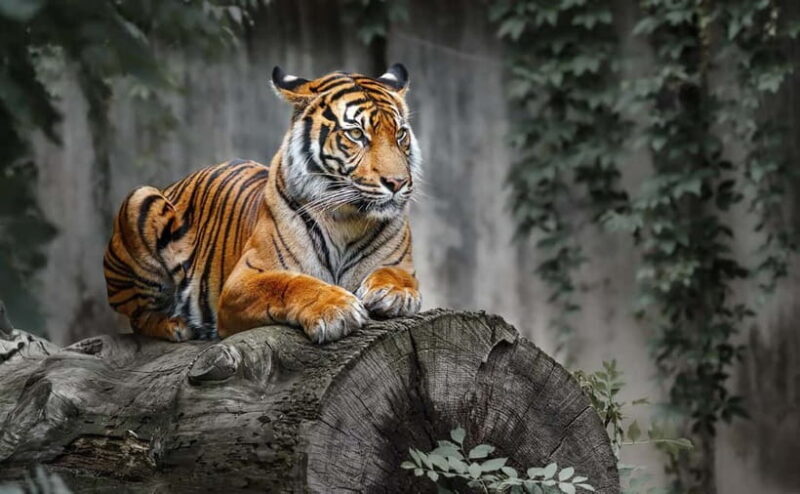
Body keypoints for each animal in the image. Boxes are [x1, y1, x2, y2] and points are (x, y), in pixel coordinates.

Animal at [103, 64, 421, 344]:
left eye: (400, 134)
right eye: (356, 134)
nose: (397, 183)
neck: (347, 220)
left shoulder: (399, 263)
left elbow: (399, 274)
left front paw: (395, 293)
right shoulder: (242, 281)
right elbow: (289, 283)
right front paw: (335, 308)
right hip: (140, 199)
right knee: (137, 317)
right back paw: (176, 325)